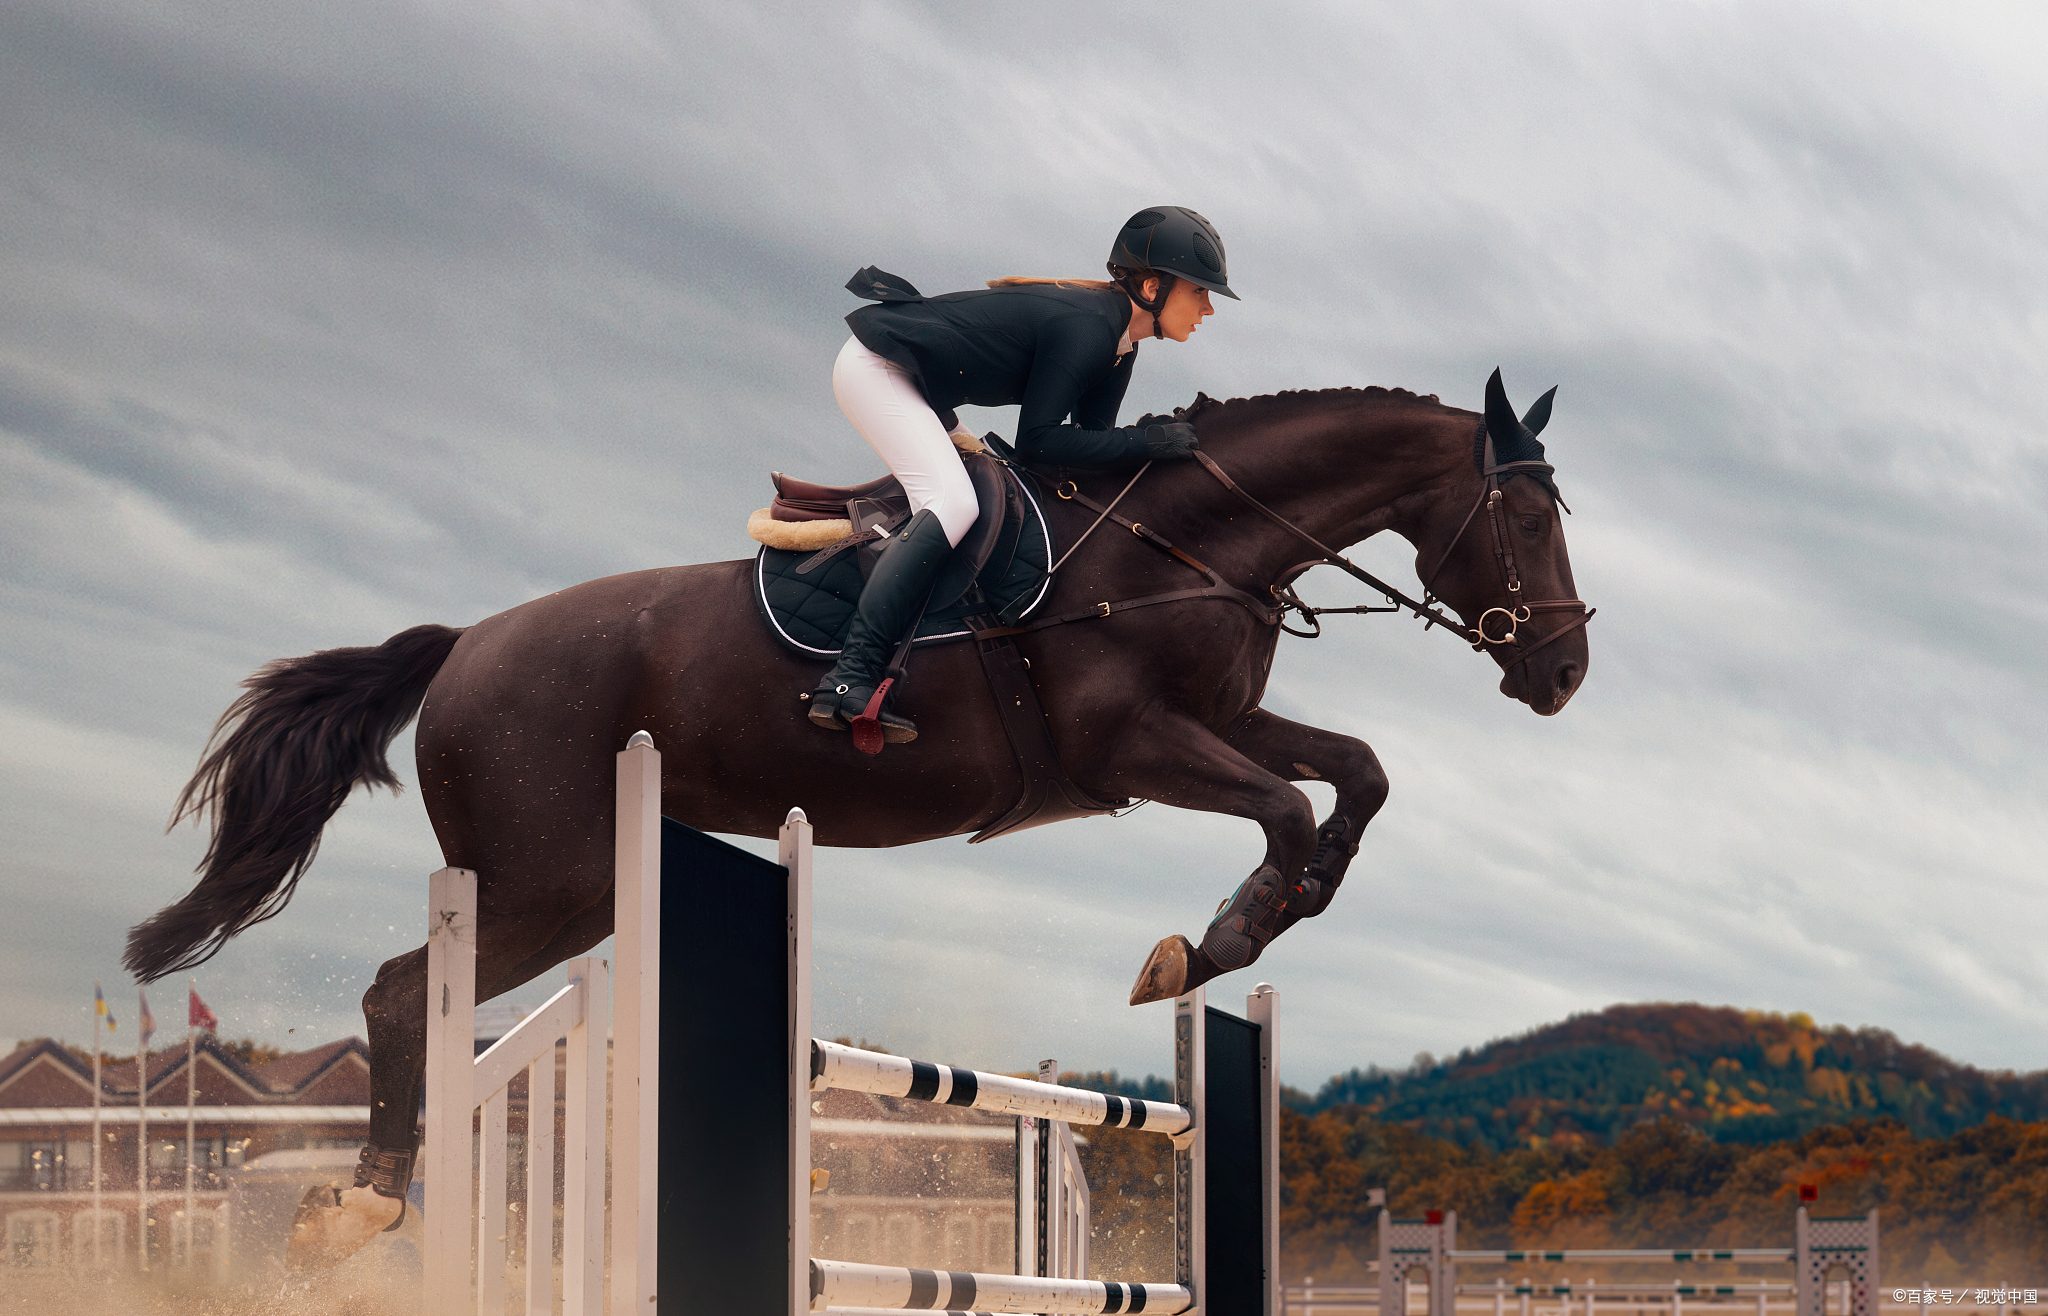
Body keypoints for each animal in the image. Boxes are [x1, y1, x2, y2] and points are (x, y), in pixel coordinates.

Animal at [128, 376, 1589, 1260]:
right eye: (1524, 513)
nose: (1565, 671)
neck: (1183, 542)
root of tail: (465, 643)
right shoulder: (1129, 744)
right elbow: (1289, 804)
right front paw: (1209, 944)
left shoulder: (1215, 721)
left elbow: (1357, 773)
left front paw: (1263, 916)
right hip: (547, 878)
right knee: (398, 995)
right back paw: (363, 1204)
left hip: (576, 884)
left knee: (405, 992)